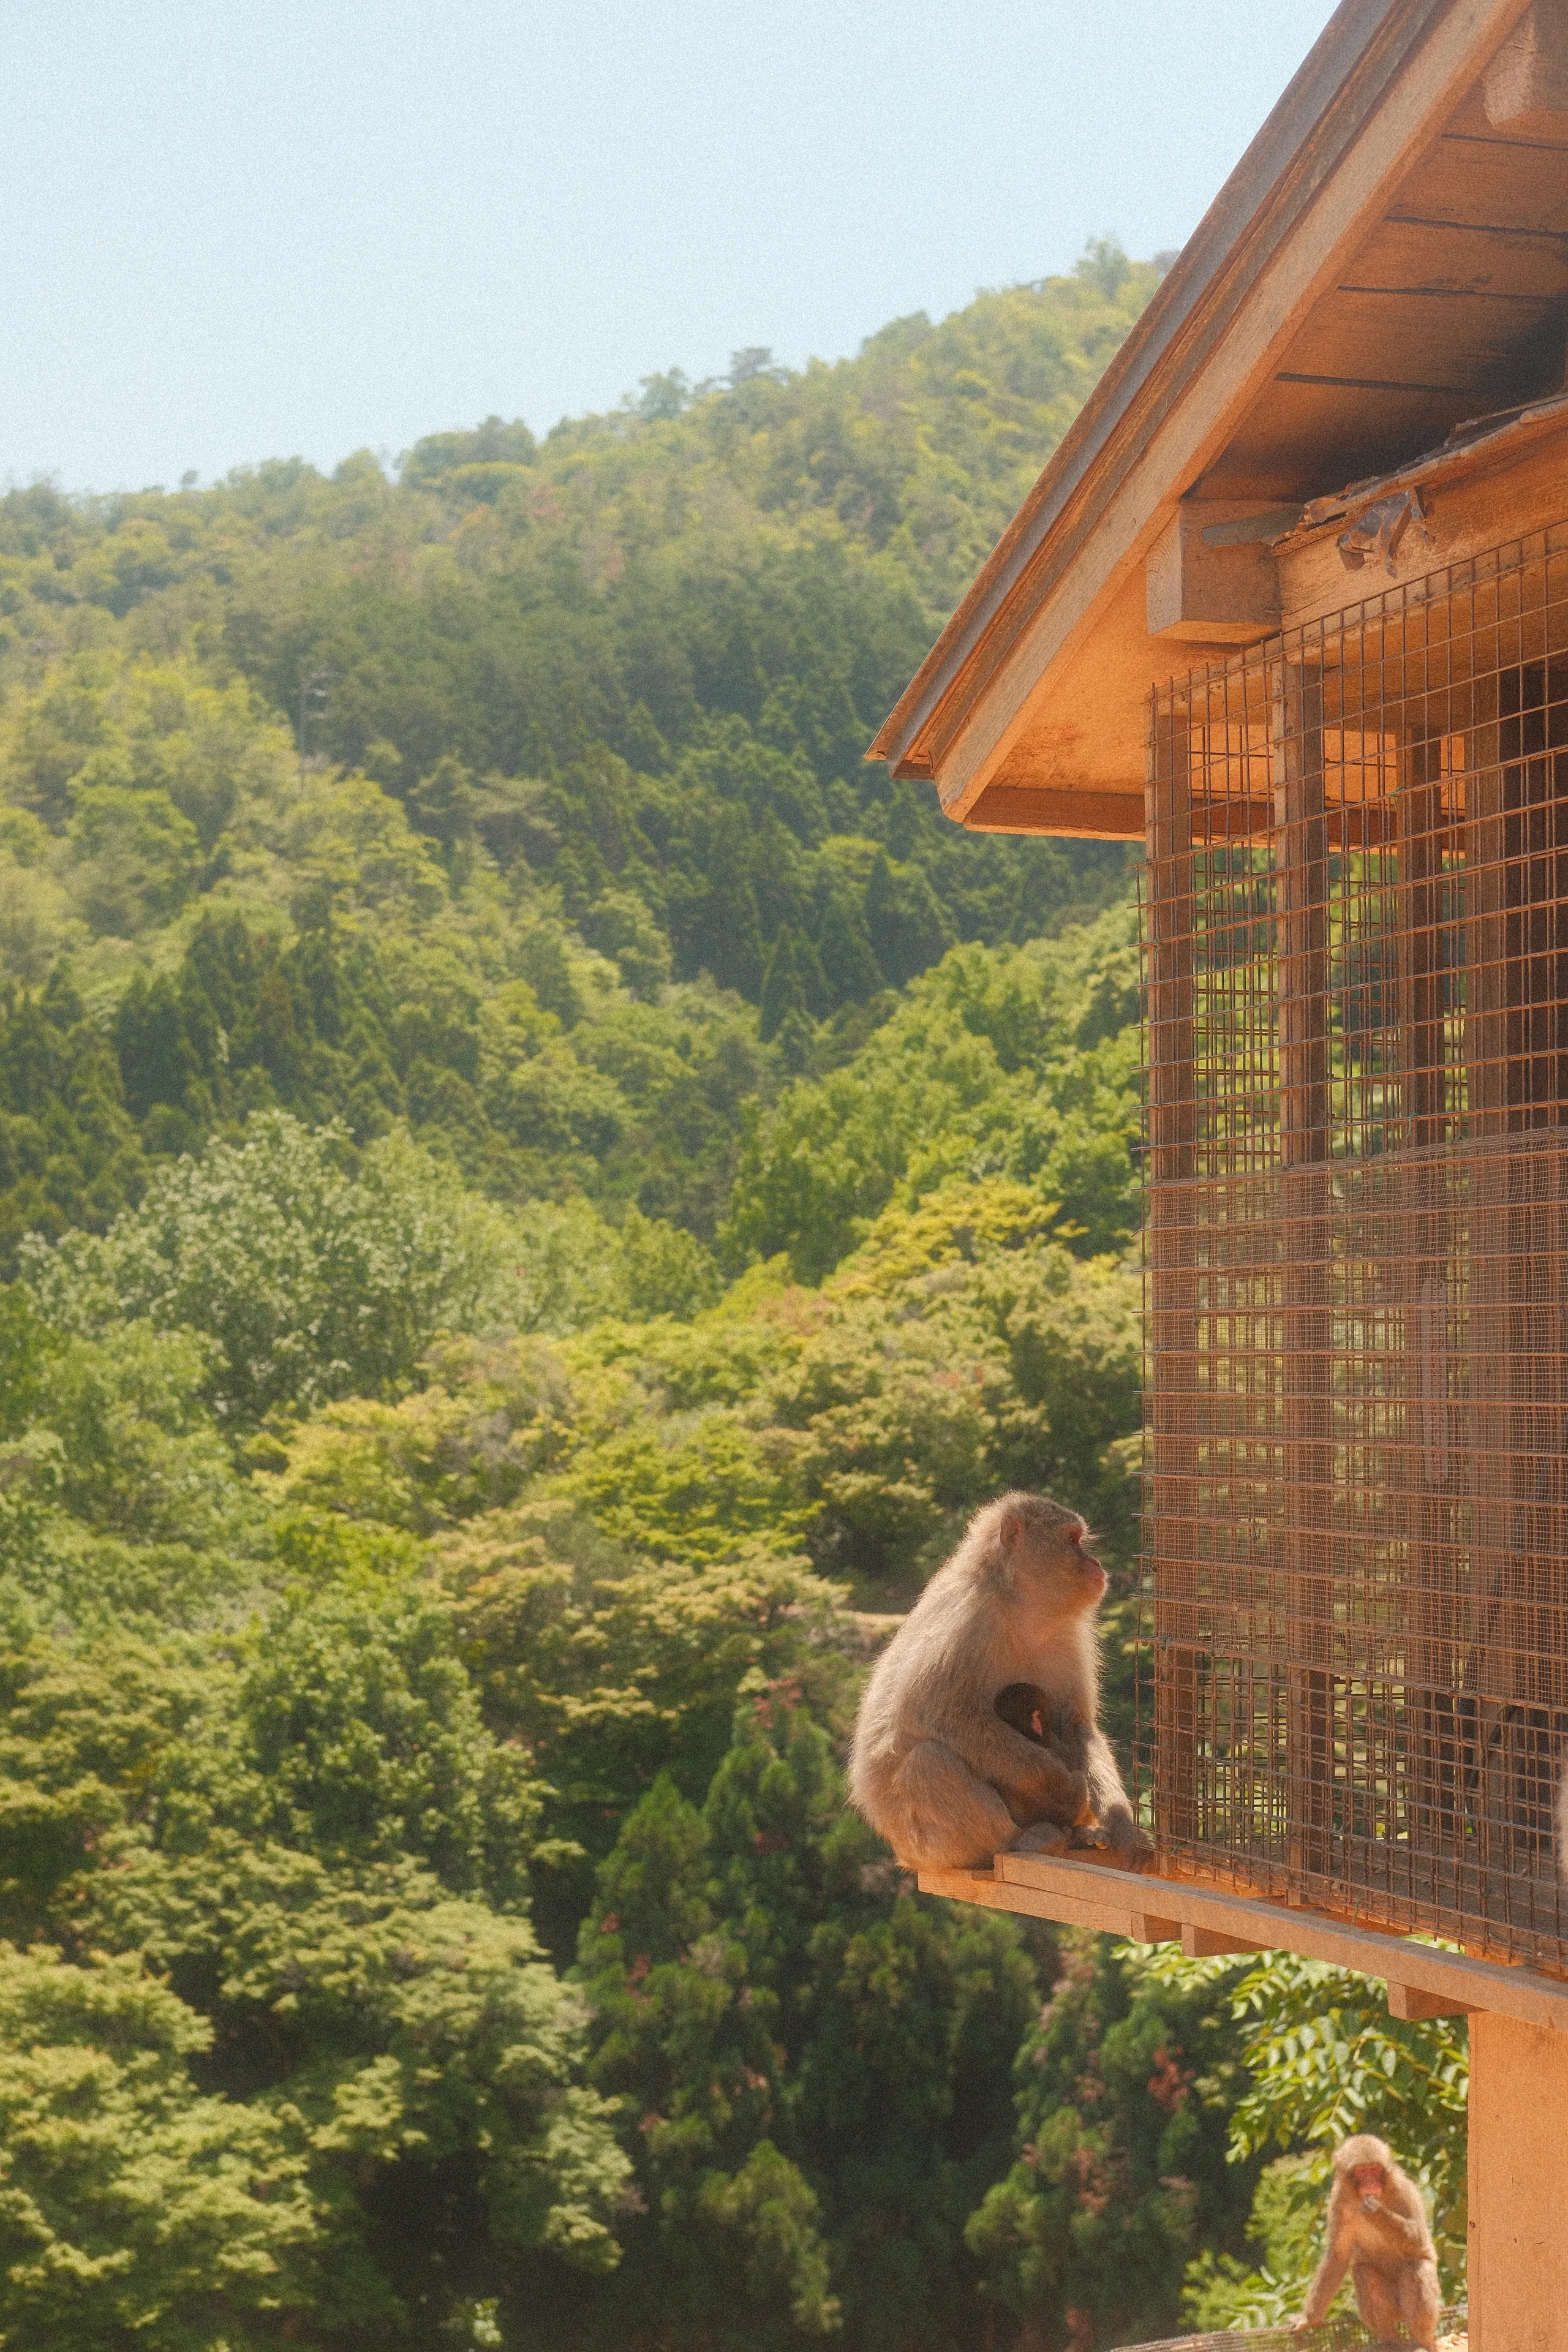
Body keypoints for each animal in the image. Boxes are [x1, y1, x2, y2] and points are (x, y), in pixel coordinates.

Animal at [848, 1491, 1155, 1872]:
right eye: (1073, 1540)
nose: (1096, 1563)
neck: (1022, 1610)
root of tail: (906, 1855)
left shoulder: (1069, 1637)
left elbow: (1073, 1725)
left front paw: (1124, 1829)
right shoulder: (969, 1619)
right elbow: (931, 1712)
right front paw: (1060, 1787)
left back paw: (1079, 1834)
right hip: (925, 1844)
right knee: (929, 1760)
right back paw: (1018, 1840)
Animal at [1294, 2134, 1440, 2352]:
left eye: (1374, 2169)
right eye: (1362, 2172)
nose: (1370, 2183)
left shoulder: (1404, 2190)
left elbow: (1419, 2240)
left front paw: (1376, 2211)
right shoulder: (1338, 2201)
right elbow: (1337, 2256)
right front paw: (1308, 2319)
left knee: (1416, 2266)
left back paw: (1420, 2340)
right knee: (1364, 2272)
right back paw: (1391, 2342)